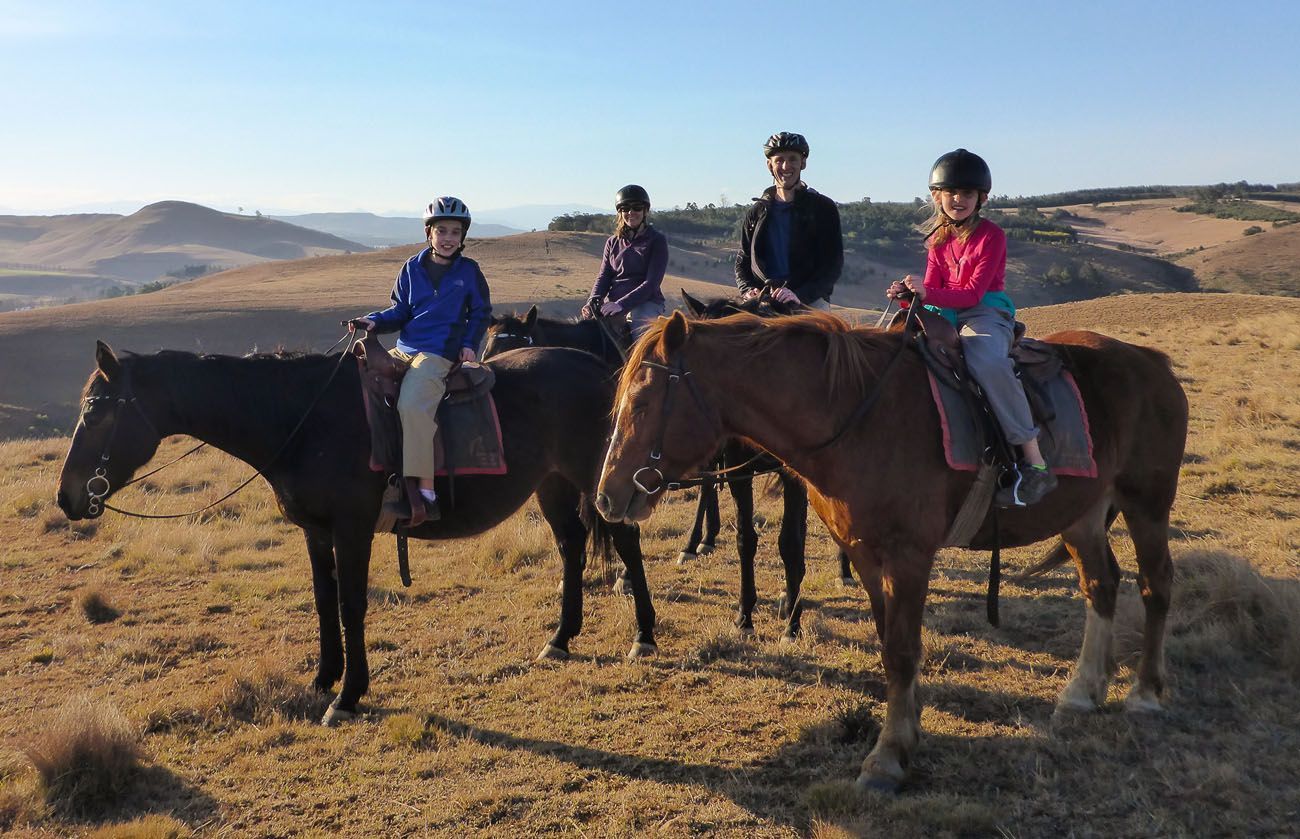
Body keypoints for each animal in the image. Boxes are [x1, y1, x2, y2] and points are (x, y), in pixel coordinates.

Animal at [55, 340, 655, 728]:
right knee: (571, 547)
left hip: (595, 478)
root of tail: (600, 368)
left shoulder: (353, 531)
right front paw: (324, 677)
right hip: (552, 484)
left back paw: (644, 636)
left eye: (94, 410)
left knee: (625, 543)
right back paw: (561, 638)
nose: (66, 497)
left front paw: (347, 695)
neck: (303, 419)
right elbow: (324, 601)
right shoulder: (316, 532)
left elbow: (351, 605)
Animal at [598, 309, 1190, 790]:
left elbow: (903, 651)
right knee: (1101, 586)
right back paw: (1084, 689)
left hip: (1146, 502)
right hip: (1083, 514)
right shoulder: (863, 553)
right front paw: (908, 731)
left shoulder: (908, 557)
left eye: (643, 401)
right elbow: (889, 644)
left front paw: (886, 758)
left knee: (1156, 585)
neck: (857, 418)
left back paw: (1145, 693)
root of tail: (1153, 364)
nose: (608, 496)